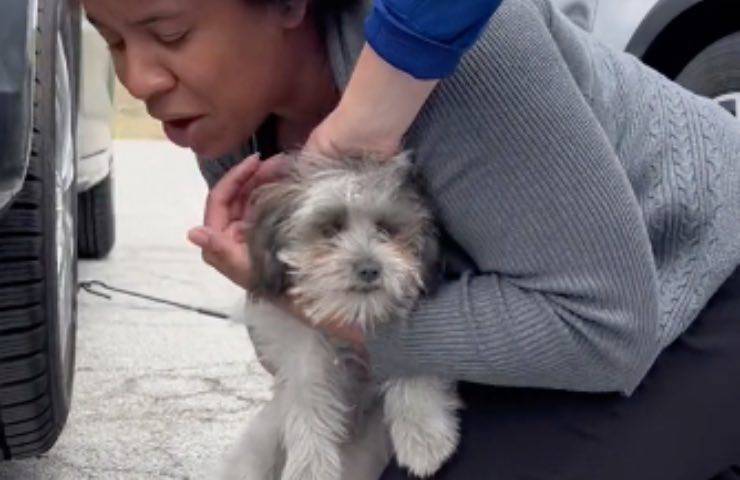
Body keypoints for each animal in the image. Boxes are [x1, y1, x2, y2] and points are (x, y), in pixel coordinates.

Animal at [223, 154, 460, 480]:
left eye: (386, 229)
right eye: (330, 229)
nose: (370, 269)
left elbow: (410, 361)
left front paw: (423, 437)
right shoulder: (300, 344)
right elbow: (308, 394)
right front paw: (310, 465)